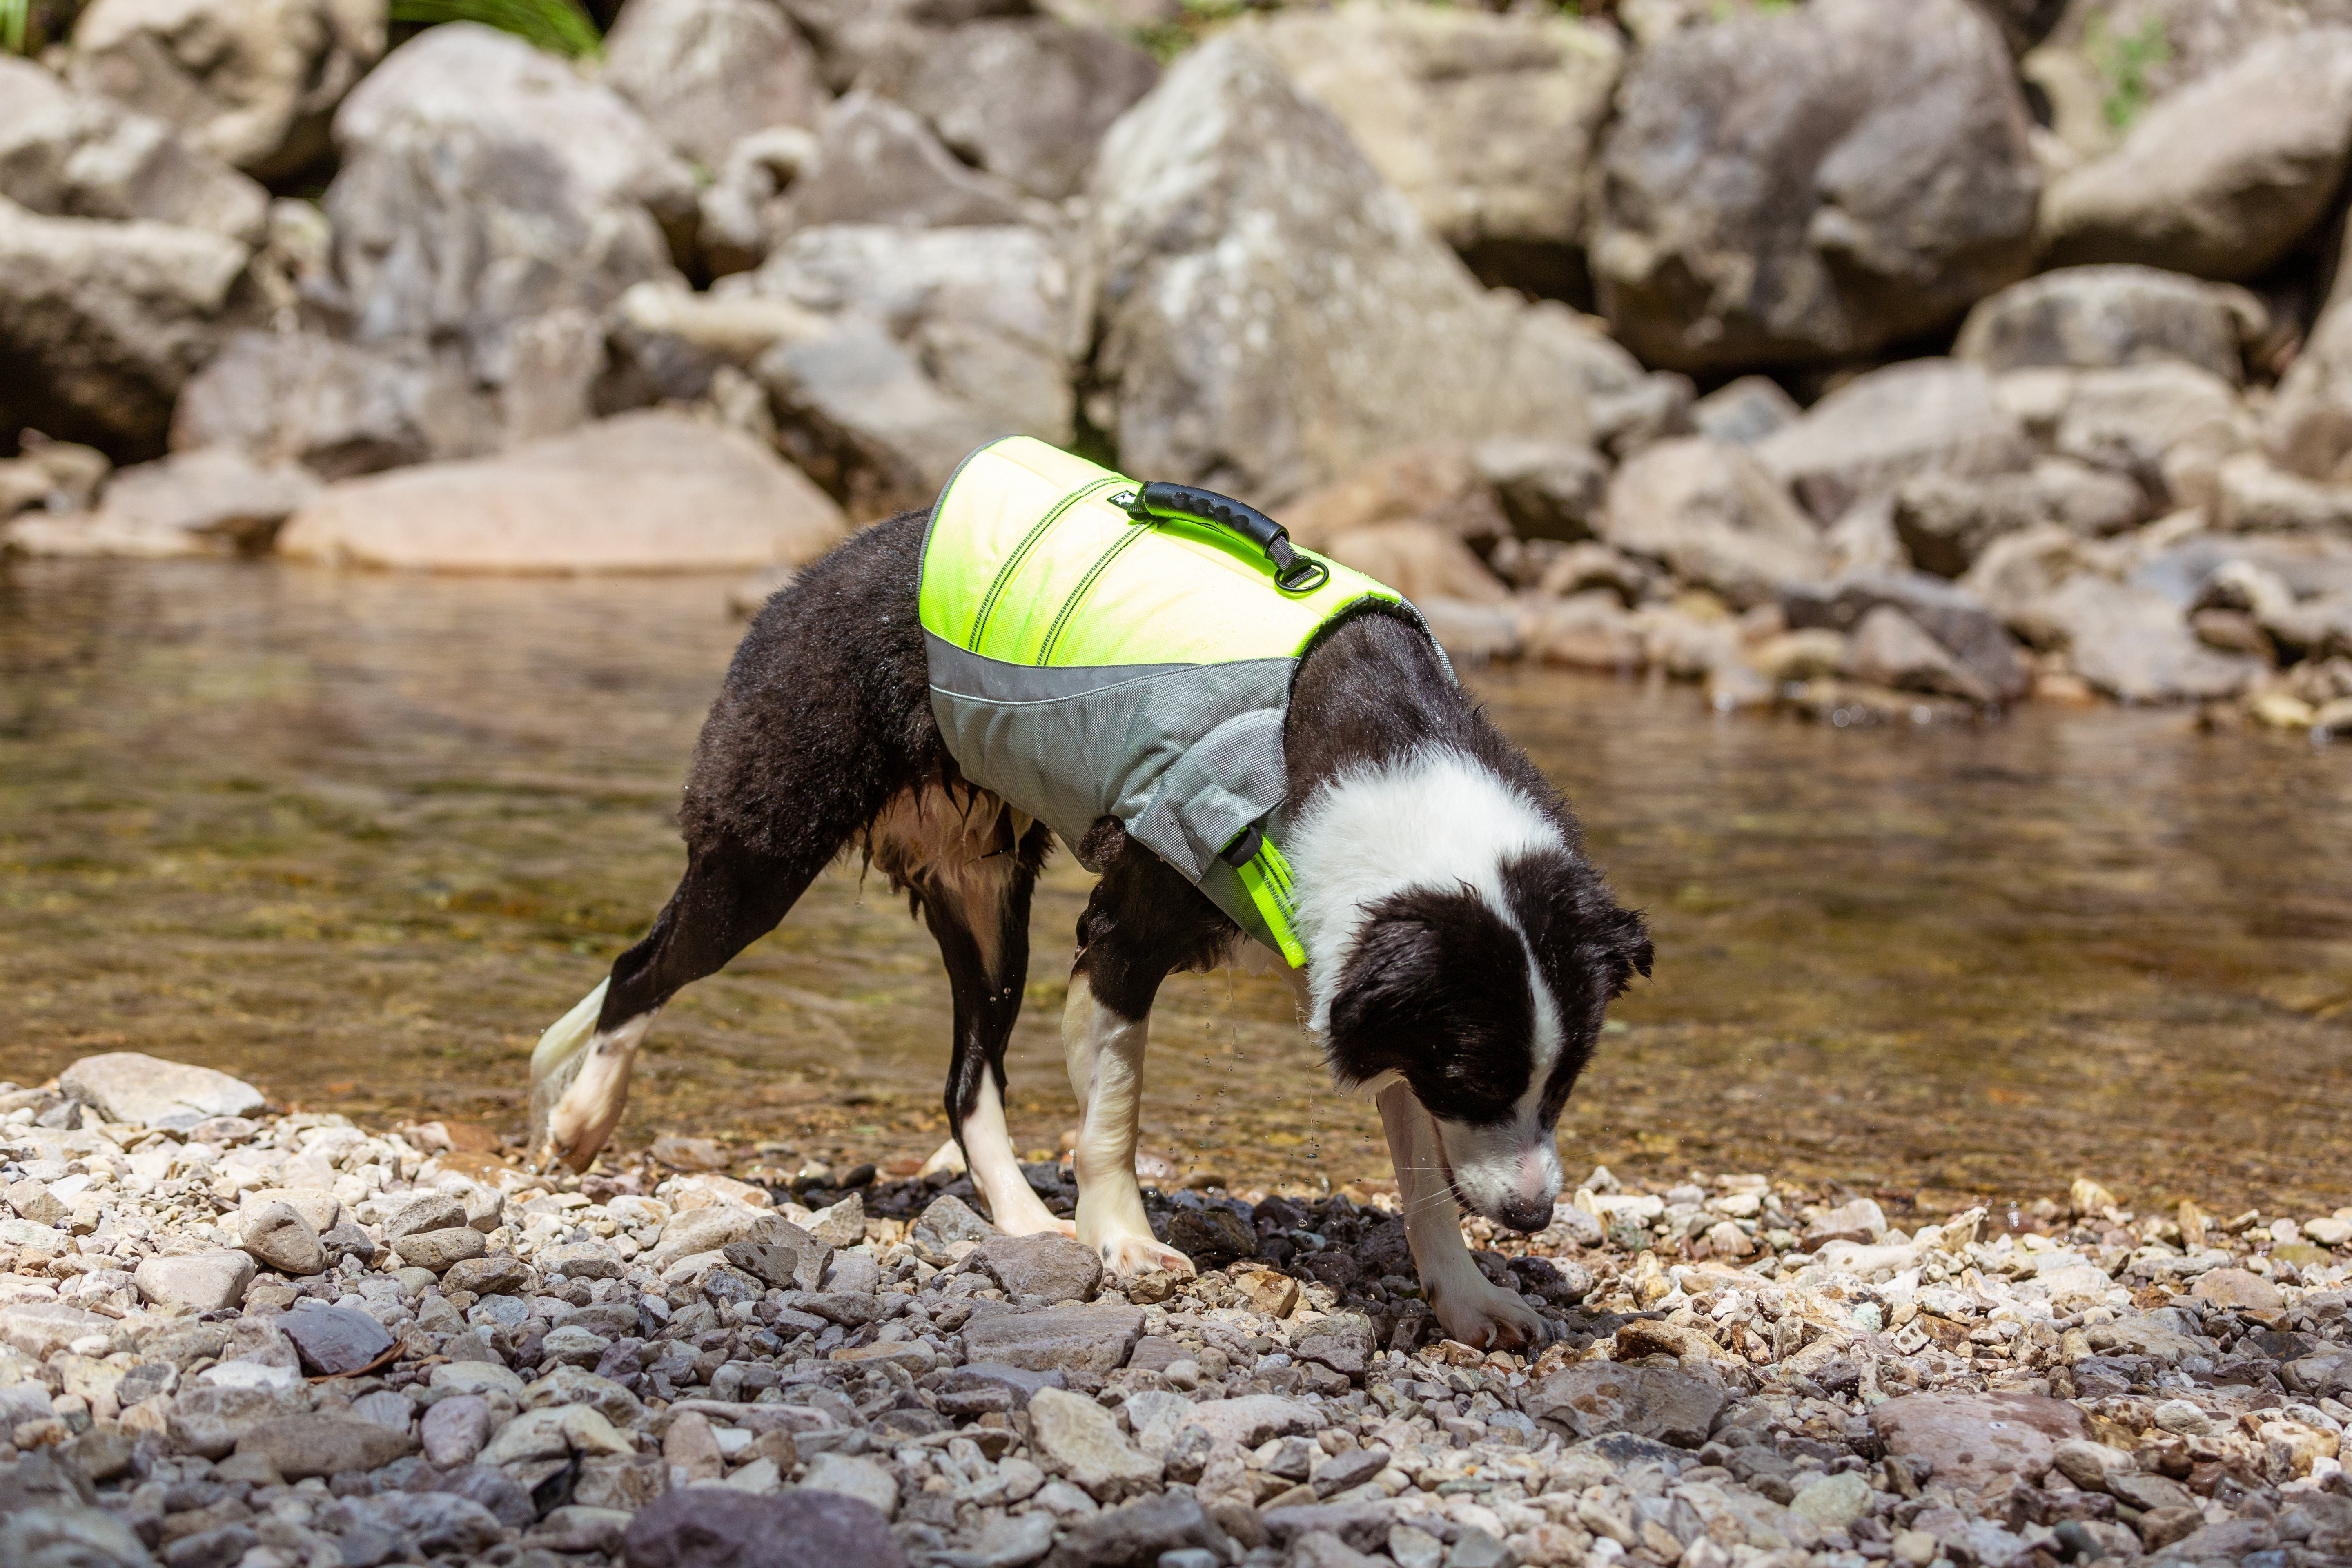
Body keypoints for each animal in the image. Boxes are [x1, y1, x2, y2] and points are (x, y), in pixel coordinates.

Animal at [536, 510, 1646, 1345]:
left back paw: (1025, 1222)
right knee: (639, 969)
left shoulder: (1366, 986)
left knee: (965, 1080)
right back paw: (584, 1118)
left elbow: (1422, 1171)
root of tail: (811, 573)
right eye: (1478, 1077)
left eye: (1565, 1082)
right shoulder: (1126, 935)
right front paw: (1123, 1240)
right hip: (764, 845)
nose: (1534, 1214)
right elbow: (1113, 1119)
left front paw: (1468, 1295)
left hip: (987, 906)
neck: (1369, 748)